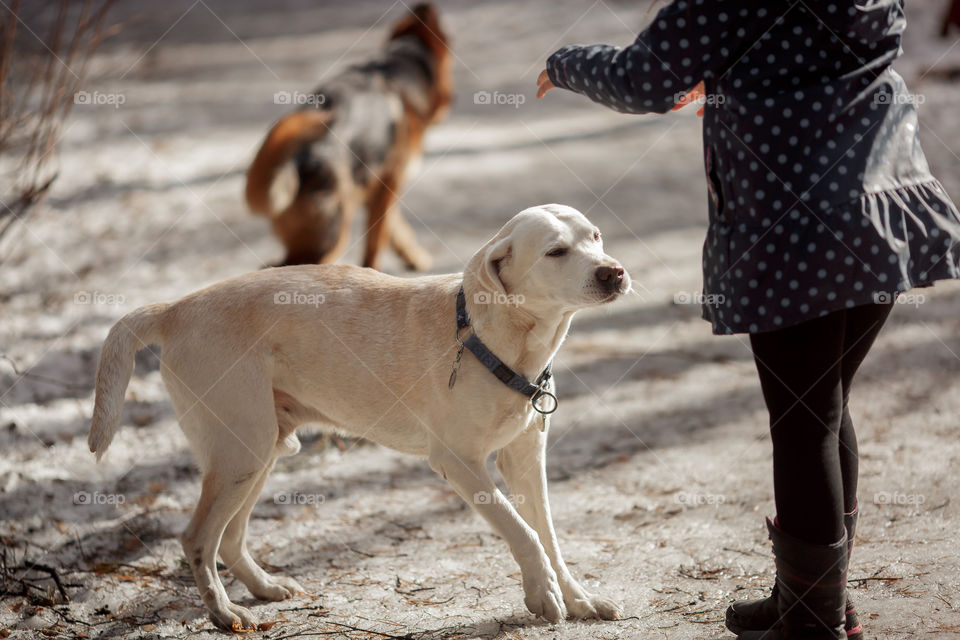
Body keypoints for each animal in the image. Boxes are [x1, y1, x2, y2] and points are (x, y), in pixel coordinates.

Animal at [88, 205, 632, 632]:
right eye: (556, 252)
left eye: (596, 237)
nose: (615, 272)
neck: (496, 339)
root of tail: (176, 308)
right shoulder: (460, 463)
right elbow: (524, 534)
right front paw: (543, 595)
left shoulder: (525, 461)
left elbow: (548, 536)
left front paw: (577, 597)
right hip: (241, 452)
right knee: (198, 537)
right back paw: (224, 615)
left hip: (258, 453)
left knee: (231, 538)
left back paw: (263, 589)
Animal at [248, 3, 458, 268]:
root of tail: (302, 156)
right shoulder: (390, 182)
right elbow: (377, 241)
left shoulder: (376, 188)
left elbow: (396, 227)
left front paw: (411, 254)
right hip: (332, 237)